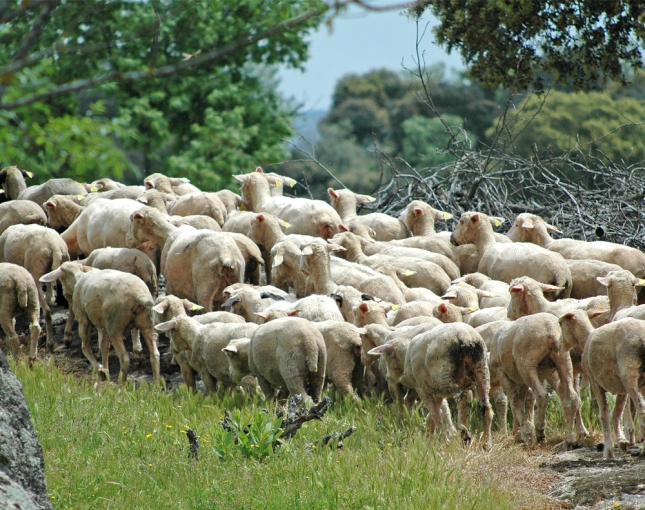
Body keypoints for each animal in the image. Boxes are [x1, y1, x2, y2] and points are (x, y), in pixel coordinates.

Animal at [488, 312, 580, 448]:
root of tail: (549, 329)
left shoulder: (501, 372)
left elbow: (515, 402)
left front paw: (525, 434)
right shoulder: (524, 380)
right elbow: (520, 400)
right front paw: (518, 434)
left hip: (527, 365)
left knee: (541, 395)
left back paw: (539, 431)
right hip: (563, 358)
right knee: (571, 397)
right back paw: (570, 439)